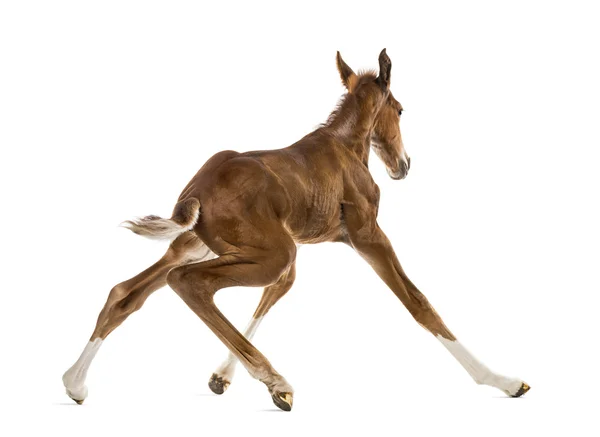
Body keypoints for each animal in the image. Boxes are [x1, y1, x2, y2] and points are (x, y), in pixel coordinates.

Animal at [63, 49, 528, 410]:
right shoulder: (365, 235)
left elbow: (273, 296)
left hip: (201, 244)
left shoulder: (300, 247)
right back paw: (278, 382)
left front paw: (221, 377)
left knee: (126, 292)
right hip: (265, 251)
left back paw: (75, 382)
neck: (348, 146)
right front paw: (503, 381)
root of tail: (195, 190)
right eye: (400, 110)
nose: (404, 166)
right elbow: (418, 302)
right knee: (187, 283)